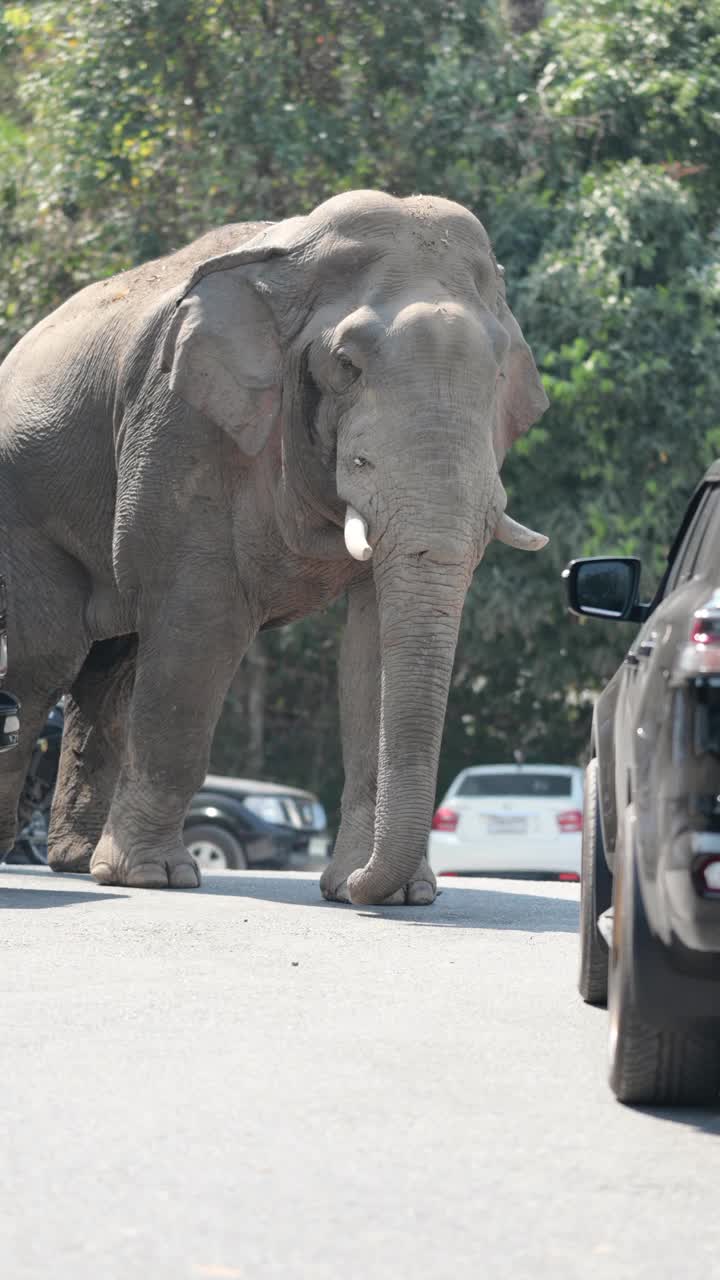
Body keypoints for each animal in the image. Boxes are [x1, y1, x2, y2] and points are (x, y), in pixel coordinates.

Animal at [0, 192, 545, 911]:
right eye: (346, 365)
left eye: (501, 371)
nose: (363, 891)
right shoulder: (181, 426)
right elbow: (203, 620)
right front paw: (154, 878)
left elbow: (372, 642)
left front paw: (389, 895)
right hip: (25, 512)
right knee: (44, 662)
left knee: (107, 671)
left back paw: (75, 860)